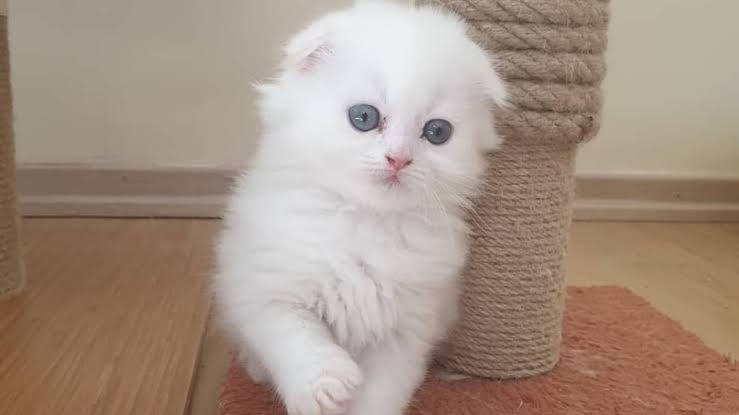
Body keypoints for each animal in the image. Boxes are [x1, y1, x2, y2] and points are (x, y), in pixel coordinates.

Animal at [211, 1, 506, 414]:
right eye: (364, 117)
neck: (366, 222)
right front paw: (325, 386)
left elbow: (382, 393)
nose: (398, 159)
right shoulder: (266, 287)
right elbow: (296, 337)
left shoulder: (407, 331)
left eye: (437, 132)